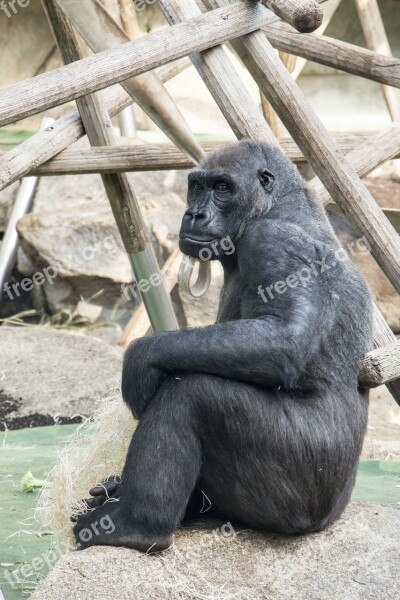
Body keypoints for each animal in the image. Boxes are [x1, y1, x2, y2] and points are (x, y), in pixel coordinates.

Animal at [73, 141, 374, 552]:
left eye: (222, 188)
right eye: (197, 186)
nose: (195, 213)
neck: (277, 204)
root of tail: (326, 521)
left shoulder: (272, 240)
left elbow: (283, 337)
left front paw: (140, 359)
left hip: (298, 493)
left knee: (192, 394)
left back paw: (136, 524)